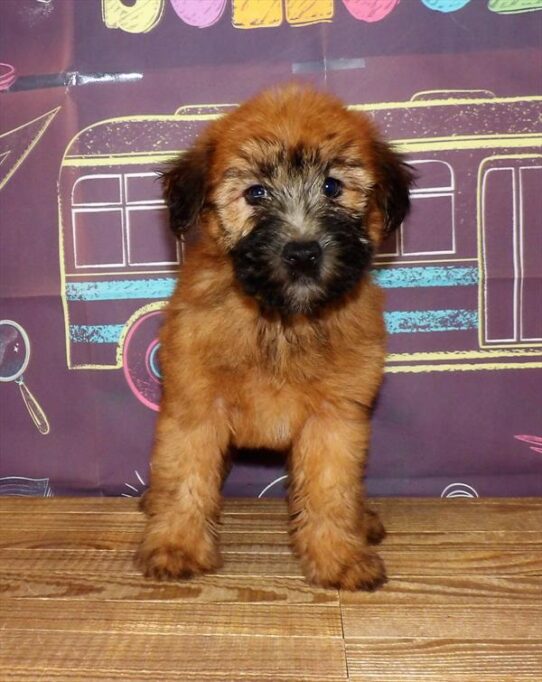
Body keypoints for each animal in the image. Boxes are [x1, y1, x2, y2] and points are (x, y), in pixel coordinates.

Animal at [138, 82, 414, 588]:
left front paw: (338, 555)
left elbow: (330, 488)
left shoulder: (335, 418)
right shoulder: (195, 405)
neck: (281, 321)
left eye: (332, 187)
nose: (302, 253)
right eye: (256, 193)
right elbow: (185, 475)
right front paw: (176, 544)